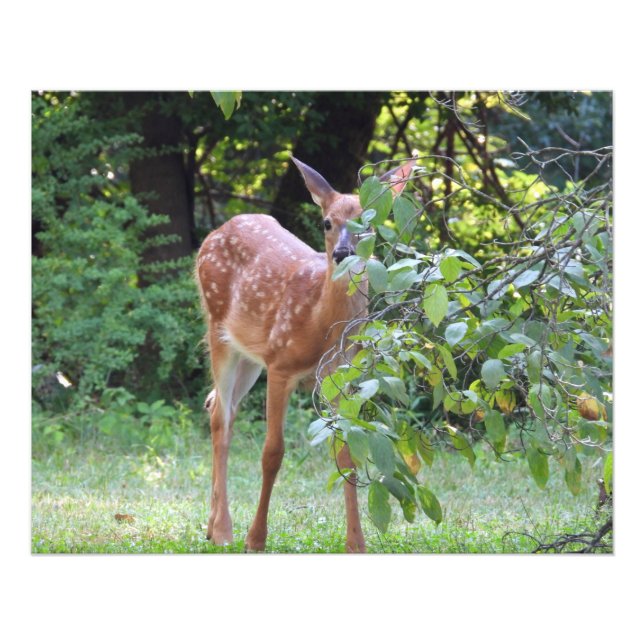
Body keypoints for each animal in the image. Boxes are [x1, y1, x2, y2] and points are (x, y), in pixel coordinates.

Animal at [196, 155, 415, 553]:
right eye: (327, 221)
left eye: (369, 220)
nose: (342, 253)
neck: (319, 323)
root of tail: (218, 230)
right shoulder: (280, 365)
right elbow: (272, 452)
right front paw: (256, 539)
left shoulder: (340, 376)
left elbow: (347, 453)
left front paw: (356, 543)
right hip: (218, 328)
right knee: (221, 414)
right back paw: (223, 530)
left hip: (250, 354)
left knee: (217, 404)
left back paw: (211, 524)